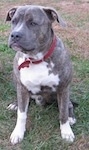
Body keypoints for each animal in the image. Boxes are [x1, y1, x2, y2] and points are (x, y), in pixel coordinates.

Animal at [6, 5, 76, 145]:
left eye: (33, 23)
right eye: (14, 21)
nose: (15, 34)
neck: (35, 59)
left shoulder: (63, 88)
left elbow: (63, 113)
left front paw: (66, 132)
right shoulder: (21, 88)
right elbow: (21, 114)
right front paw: (18, 133)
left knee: (69, 105)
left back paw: (71, 118)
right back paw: (15, 104)